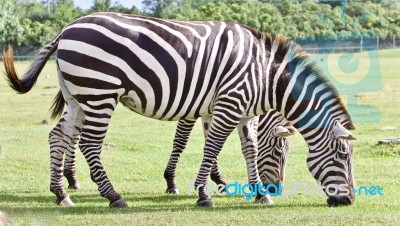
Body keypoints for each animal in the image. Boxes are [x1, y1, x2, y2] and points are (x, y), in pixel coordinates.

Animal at [163, 110, 294, 195]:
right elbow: (181, 140)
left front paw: (218, 180)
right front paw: (171, 182)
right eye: (278, 151)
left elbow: (210, 142)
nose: (278, 190)